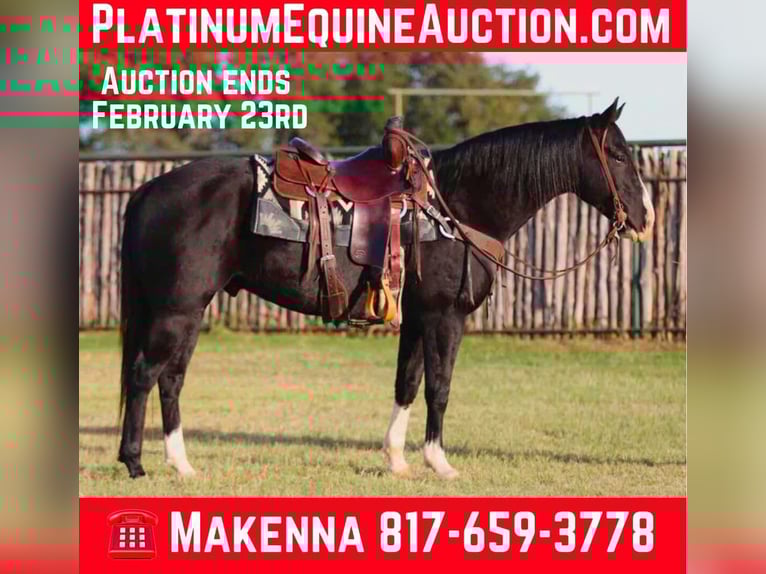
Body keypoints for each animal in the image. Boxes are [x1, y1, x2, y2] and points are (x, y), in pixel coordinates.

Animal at [117, 98, 654, 479]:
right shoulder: (444, 316)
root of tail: (149, 190)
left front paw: (396, 460)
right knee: (146, 375)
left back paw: (181, 464)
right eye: (617, 154)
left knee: (171, 379)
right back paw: (136, 462)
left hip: (189, 311)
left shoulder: (416, 317)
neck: (457, 206)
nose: (645, 217)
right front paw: (439, 462)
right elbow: (439, 386)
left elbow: (407, 383)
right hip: (178, 310)